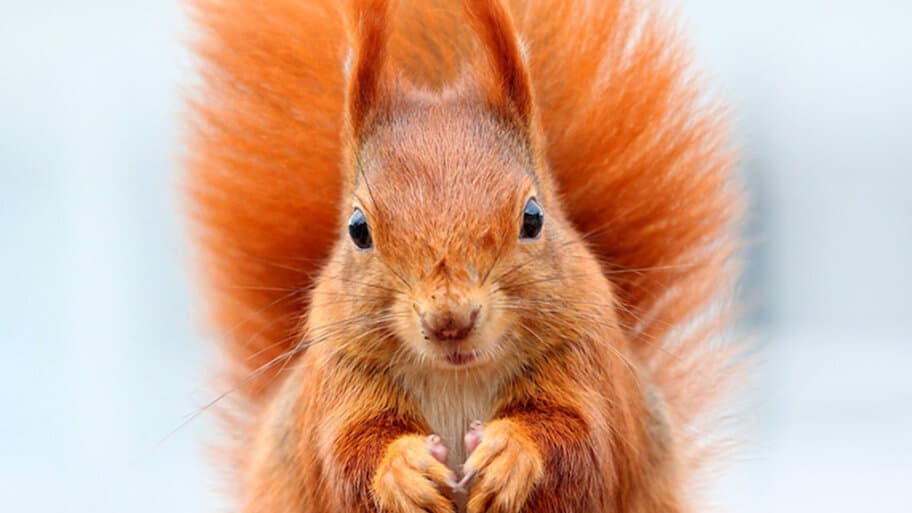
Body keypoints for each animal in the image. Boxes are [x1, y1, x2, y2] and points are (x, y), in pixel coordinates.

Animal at [184, 0, 742, 512]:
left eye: (533, 218)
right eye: (358, 229)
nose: (449, 320)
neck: (457, 377)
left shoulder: (589, 367)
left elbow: (583, 444)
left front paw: (512, 453)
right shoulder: (339, 383)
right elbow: (346, 457)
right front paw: (401, 469)